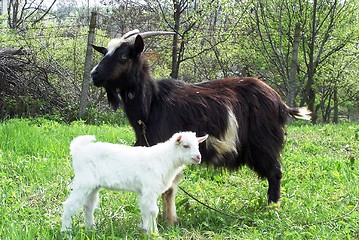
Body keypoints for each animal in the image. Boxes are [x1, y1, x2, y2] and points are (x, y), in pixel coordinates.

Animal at [90, 29, 312, 224]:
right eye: (105, 52)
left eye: (123, 57)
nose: (94, 74)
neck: (152, 103)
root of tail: (281, 104)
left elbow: (169, 188)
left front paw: (170, 221)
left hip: (264, 144)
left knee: (275, 173)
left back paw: (272, 208)